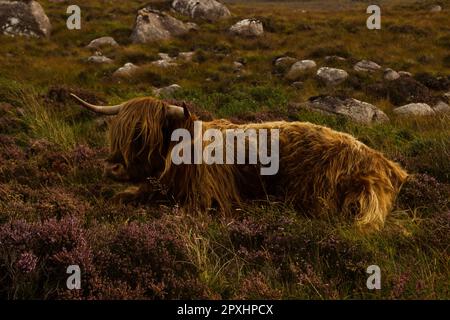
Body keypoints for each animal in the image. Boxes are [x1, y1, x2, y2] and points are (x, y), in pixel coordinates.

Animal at [70, 94, 408, 231]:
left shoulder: (206, 199)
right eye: (119, 132)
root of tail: (387, 167)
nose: (112, 168)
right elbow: (123, 196)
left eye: (143, 136)